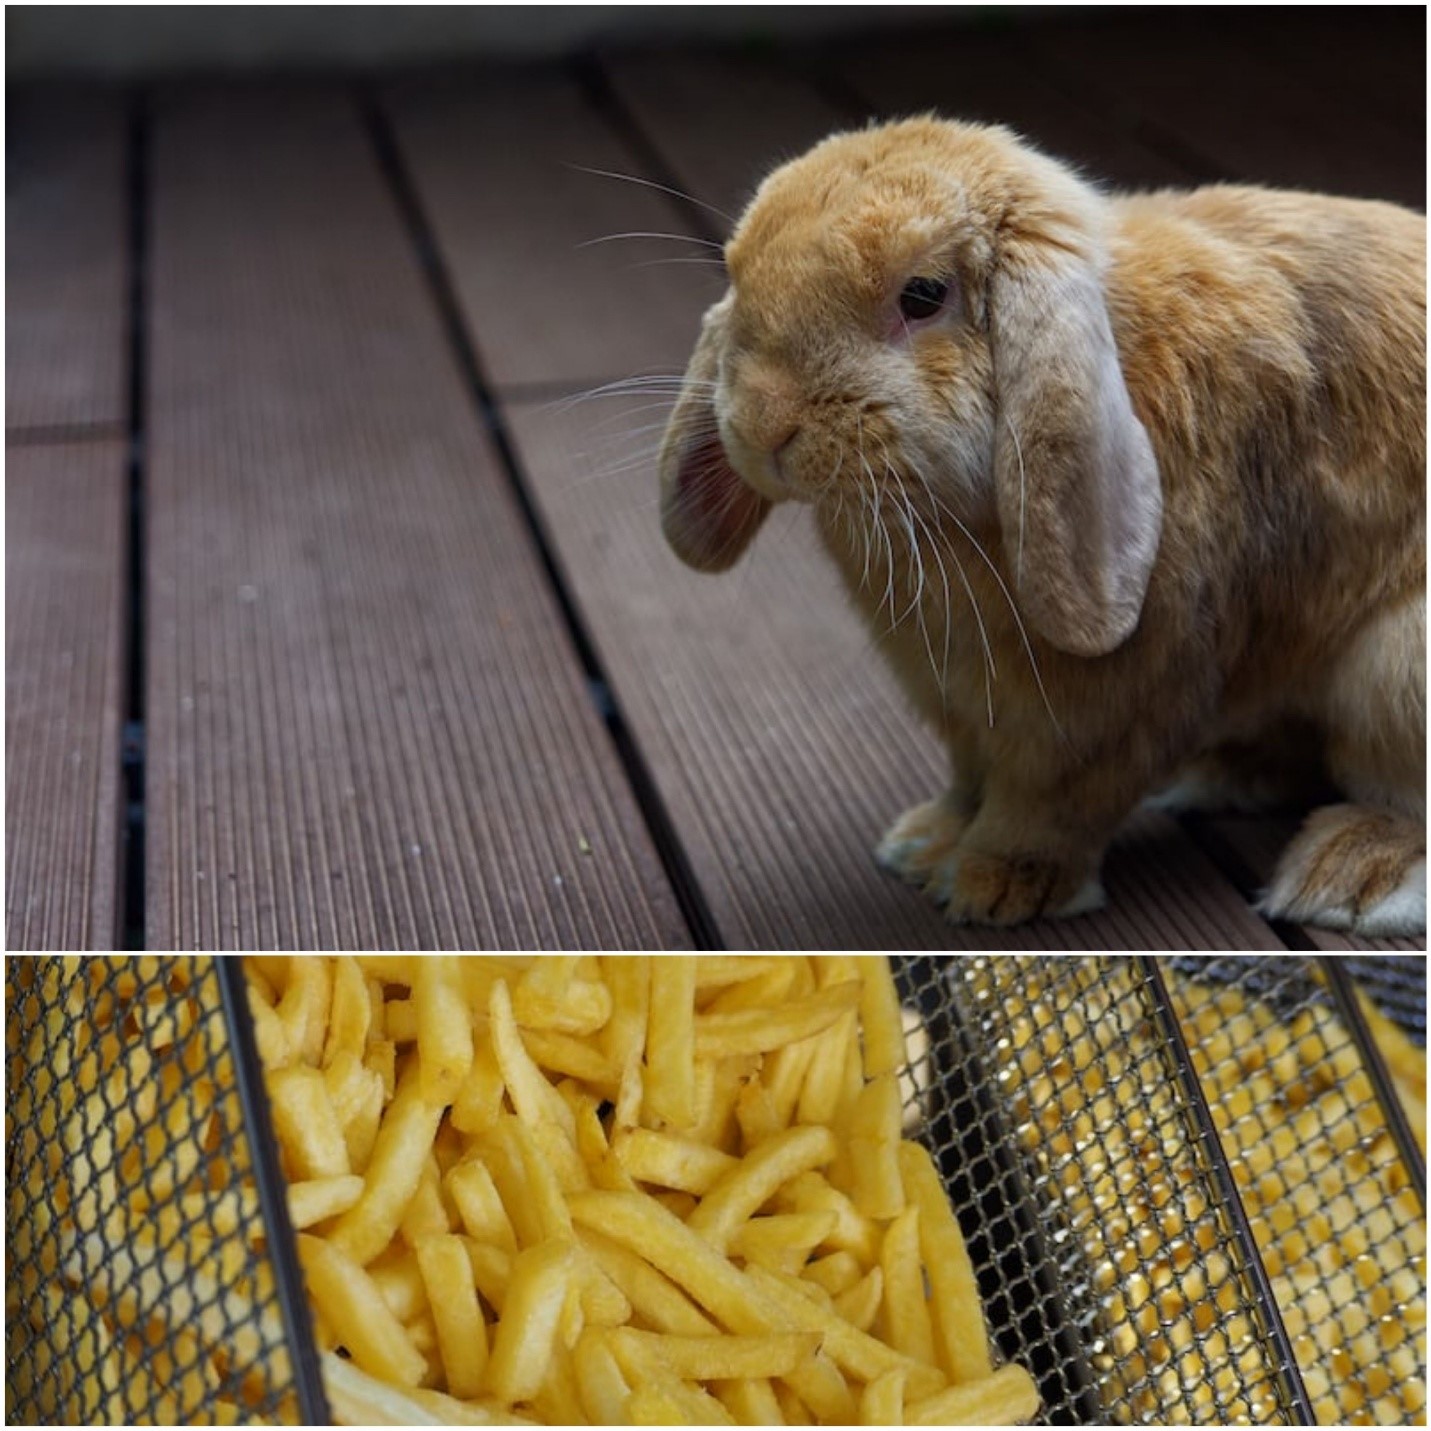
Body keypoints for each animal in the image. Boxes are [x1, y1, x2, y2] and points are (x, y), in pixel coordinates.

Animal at [657, 116, 1426, 936]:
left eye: (923, 295)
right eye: (737, 275)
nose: (761, 425)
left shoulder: (1110, 705)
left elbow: (1053, 801)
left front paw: (995, 885)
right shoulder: (956, 700)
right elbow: (969, 778)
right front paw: (925, 842)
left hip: (1392, 668)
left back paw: (1351, 872)